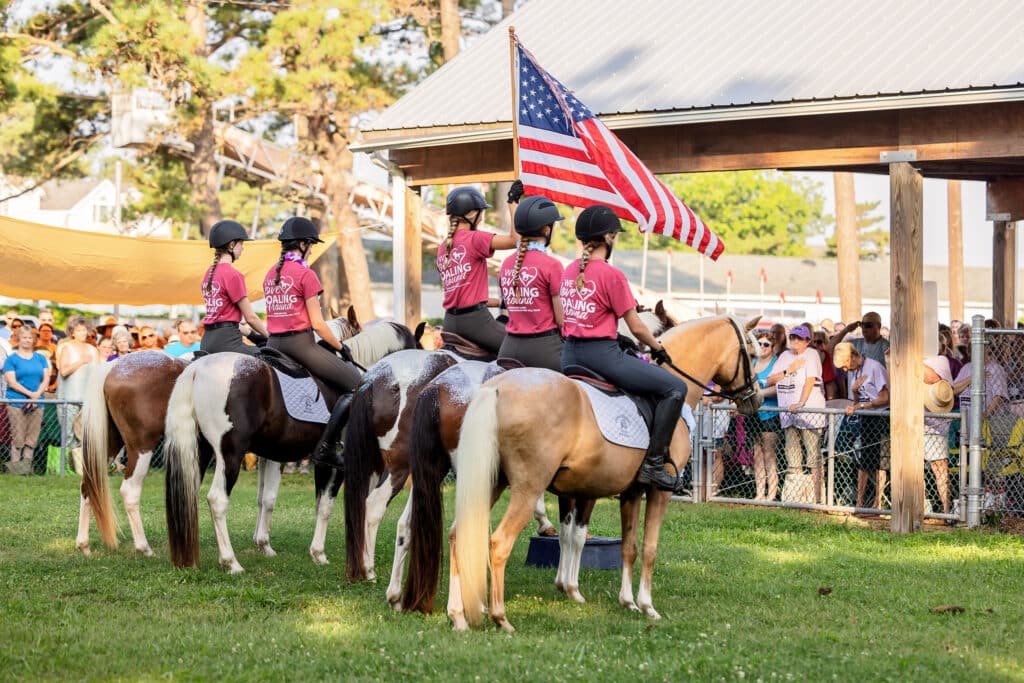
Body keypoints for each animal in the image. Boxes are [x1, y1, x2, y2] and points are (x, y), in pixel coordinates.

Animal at [75, 313, 364, 557]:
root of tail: (113, 367)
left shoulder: (268, 454)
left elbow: (264, 498)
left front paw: (262, 543)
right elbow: (300, 501)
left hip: (111, 443)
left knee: (89, 486)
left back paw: (84, 544)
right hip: (143, 445)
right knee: (131, 491)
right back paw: (145, 547)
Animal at [159, 319, 415, 573]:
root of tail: (198, 368)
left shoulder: (272, 455)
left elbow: (268, 498)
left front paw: (265, 544)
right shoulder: (333, 463)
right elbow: (325, 506)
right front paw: (318, 553)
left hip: (199, 451)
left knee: (187, 495)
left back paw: (187, 557)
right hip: (230, 454)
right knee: (217, 500)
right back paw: (231, 562)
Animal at [450, 317, 761, 634]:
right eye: (752, 354)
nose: (756, 399)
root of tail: (496, 388)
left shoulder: (631, 492)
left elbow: (628, 547)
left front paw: (628, 602)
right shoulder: (658, 492)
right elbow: (649, 548)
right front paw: (647, 606)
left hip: (491, 483)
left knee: (457, 534)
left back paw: (458, 615)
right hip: (528, 488)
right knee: (499, 542)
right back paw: (501, 617)